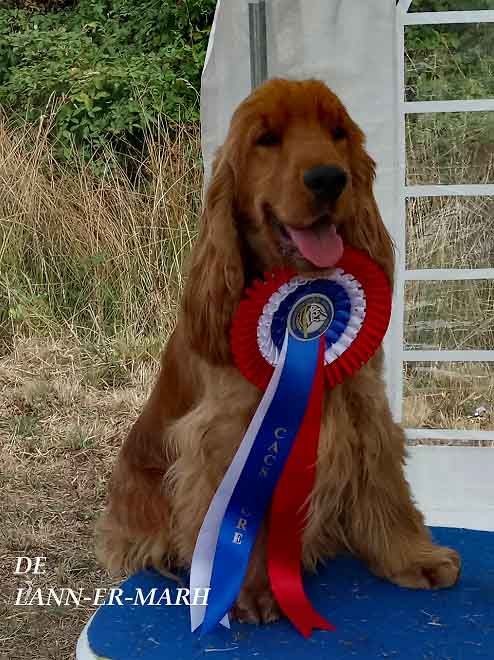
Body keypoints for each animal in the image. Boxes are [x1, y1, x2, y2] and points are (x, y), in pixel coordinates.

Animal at [96, 78, 460, 624]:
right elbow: (235, 511)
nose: (330, 178)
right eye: (266, 139)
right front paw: (246, 590)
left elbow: (385, 485)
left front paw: (414, 557)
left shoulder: (364, 402)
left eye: (337, 132)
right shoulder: (228, 430)